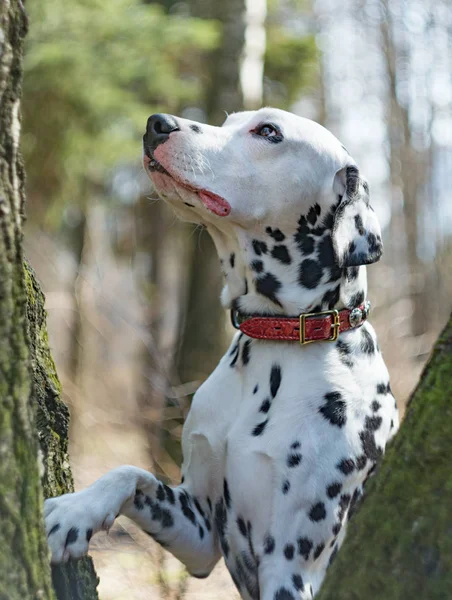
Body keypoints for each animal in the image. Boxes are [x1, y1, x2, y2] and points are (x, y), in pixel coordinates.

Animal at [45, 109, 400, 600]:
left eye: (268, 131)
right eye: (231, 120)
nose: (157, 123)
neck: (275, 343)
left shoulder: (289, 567)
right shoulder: (198, 529)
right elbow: (131, 473)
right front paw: (78, 509)